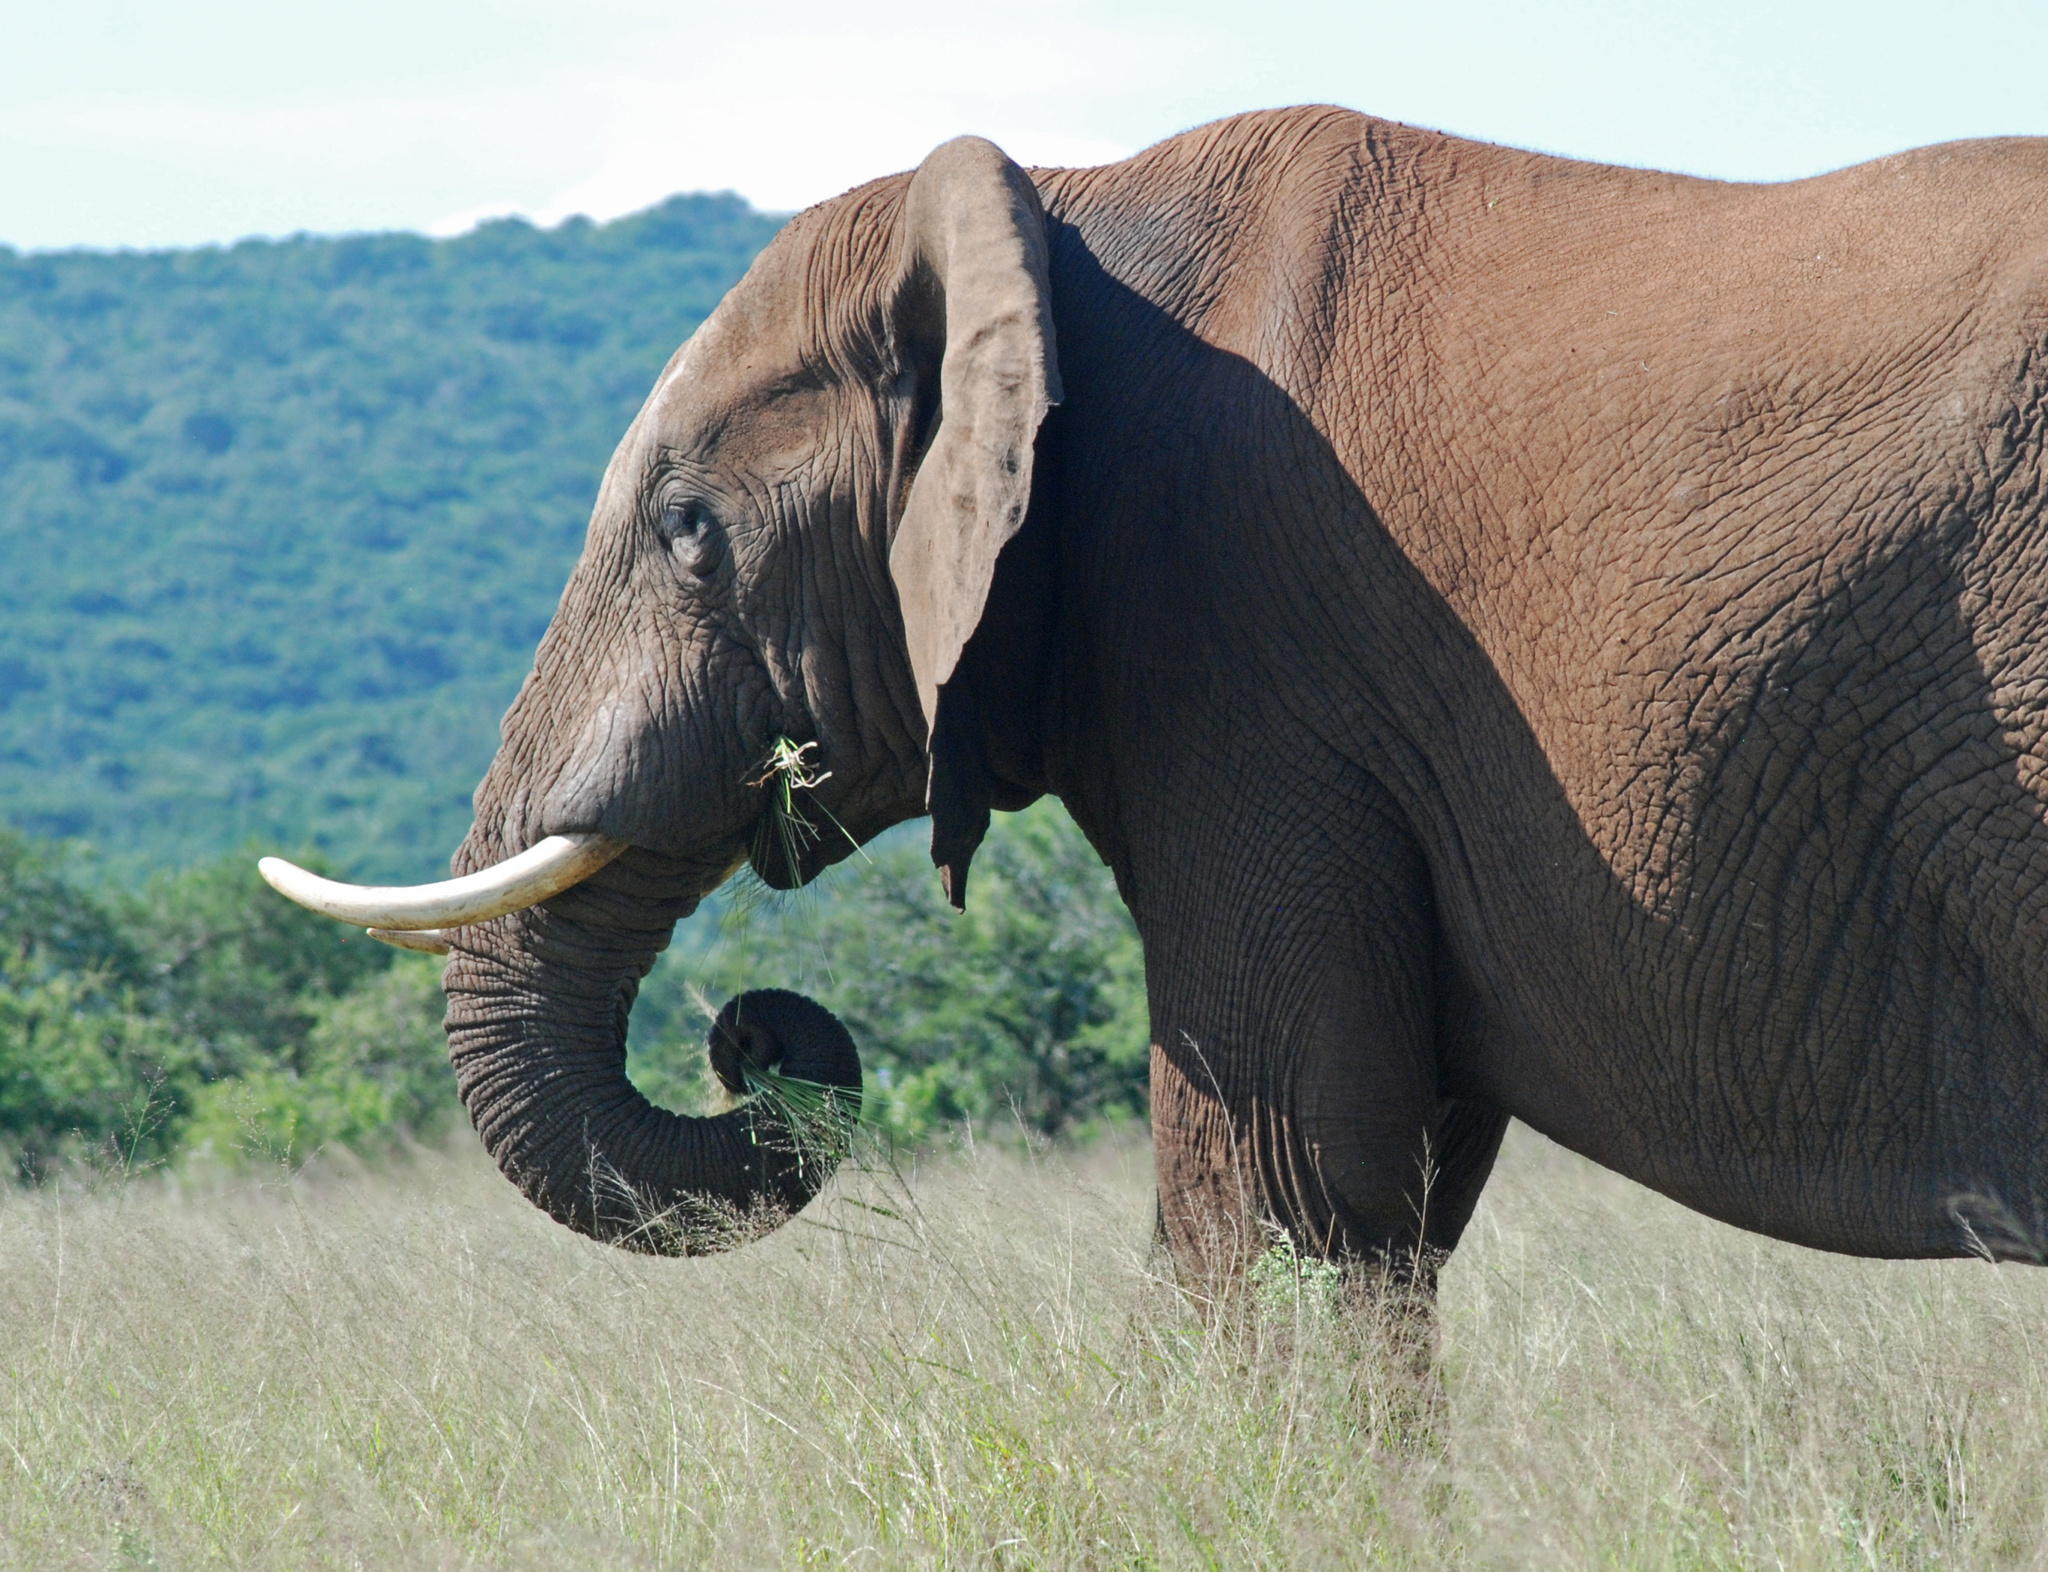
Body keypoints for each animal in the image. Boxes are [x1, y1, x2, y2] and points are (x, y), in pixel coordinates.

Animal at [260, 101, 2048, 1293]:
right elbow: (1377, 1183)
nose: (757, 1043)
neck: (1060, 212)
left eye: (692, 532)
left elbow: (1277, 1187)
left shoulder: (1255, 656)